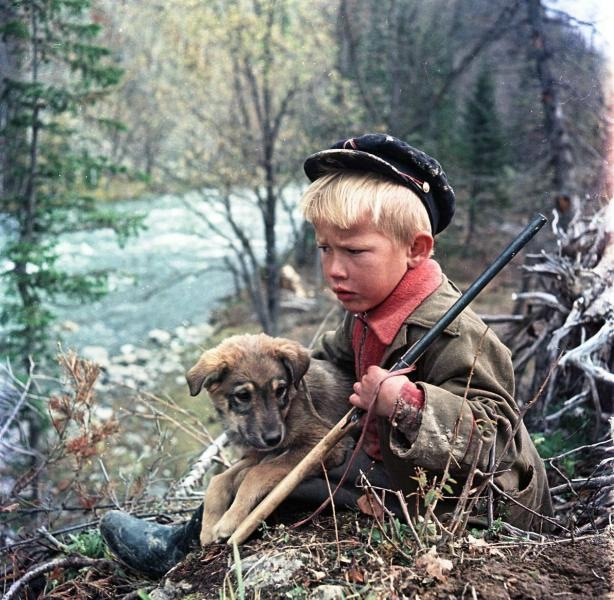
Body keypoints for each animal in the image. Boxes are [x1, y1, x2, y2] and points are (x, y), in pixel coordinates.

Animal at [185, 336, 354, 548]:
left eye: (280, 390)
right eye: (243, 395)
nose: (274, 438)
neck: (289, 408)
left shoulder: (325, 442)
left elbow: (256, 473)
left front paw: (230, 520)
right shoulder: (258, 450)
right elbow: (219, 480)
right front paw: (208, 526)